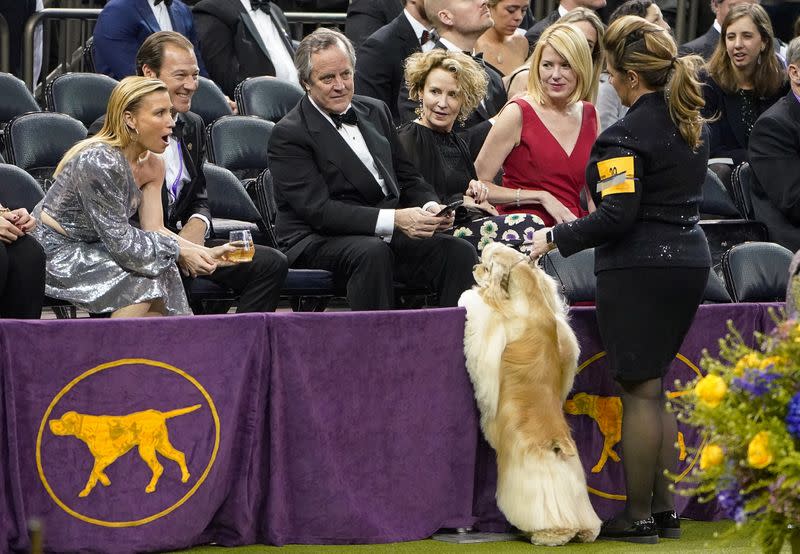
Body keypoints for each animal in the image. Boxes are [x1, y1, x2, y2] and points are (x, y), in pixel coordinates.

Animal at [456, 242, 600, 544]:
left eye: (485, 264)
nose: (474, 267)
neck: (532, 303)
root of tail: (559, 443)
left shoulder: (491, 331)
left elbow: (478, 310)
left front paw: (468, 295)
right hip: (573, 482)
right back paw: (586, 531)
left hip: (531, 479)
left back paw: (550, 534)